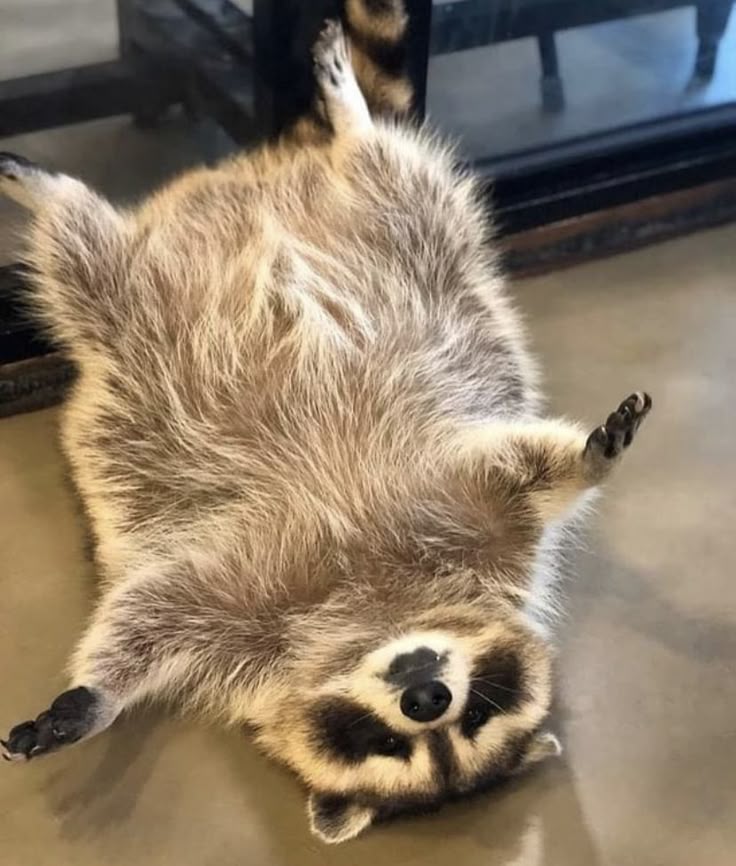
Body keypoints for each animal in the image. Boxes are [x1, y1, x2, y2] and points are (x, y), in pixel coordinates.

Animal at [0, 0, 651, 844]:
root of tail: (253, 176)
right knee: (376, 167)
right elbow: (144, 615)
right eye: (387, 736)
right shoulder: (270, 599)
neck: (375, 600)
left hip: (166, 290)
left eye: (473, 719)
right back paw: (342, 116)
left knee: (84, 253)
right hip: (389, 227)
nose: (426, 695)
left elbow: (149, 607)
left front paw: (95, 697)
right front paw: (87, 700)